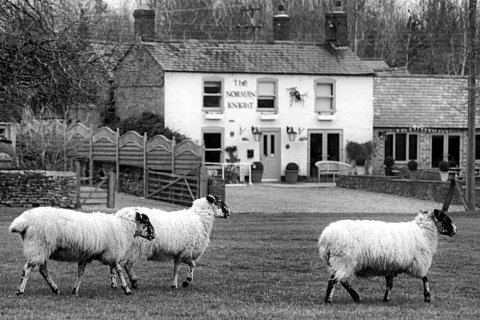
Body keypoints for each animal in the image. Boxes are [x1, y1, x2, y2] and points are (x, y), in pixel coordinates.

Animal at [9, 206, 155, 296]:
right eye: (146, 222)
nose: (154, 235)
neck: (123, 226)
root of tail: (22, 221)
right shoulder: (112, 253)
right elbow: (118, 269)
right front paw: (127, 289)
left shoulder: (85, 256)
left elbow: (81, 273)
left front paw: (75, 291)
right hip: (38, 245)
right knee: (27, 269)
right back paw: (20, 291)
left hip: (41, 249)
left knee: (43, 270)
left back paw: (55, 289)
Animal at [318, 209, 458, 304]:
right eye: (445, 218)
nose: (455, 230)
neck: (422, 231)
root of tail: (326, 238)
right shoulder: (419, 262)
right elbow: (425, 278)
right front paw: (427, 296)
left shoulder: (391, 266)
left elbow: (389, 284)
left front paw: (386, 299)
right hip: (345, 260)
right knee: (337, 280)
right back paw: (345, 297)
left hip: (336, 262)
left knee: (336, 279)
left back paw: (337, 298)